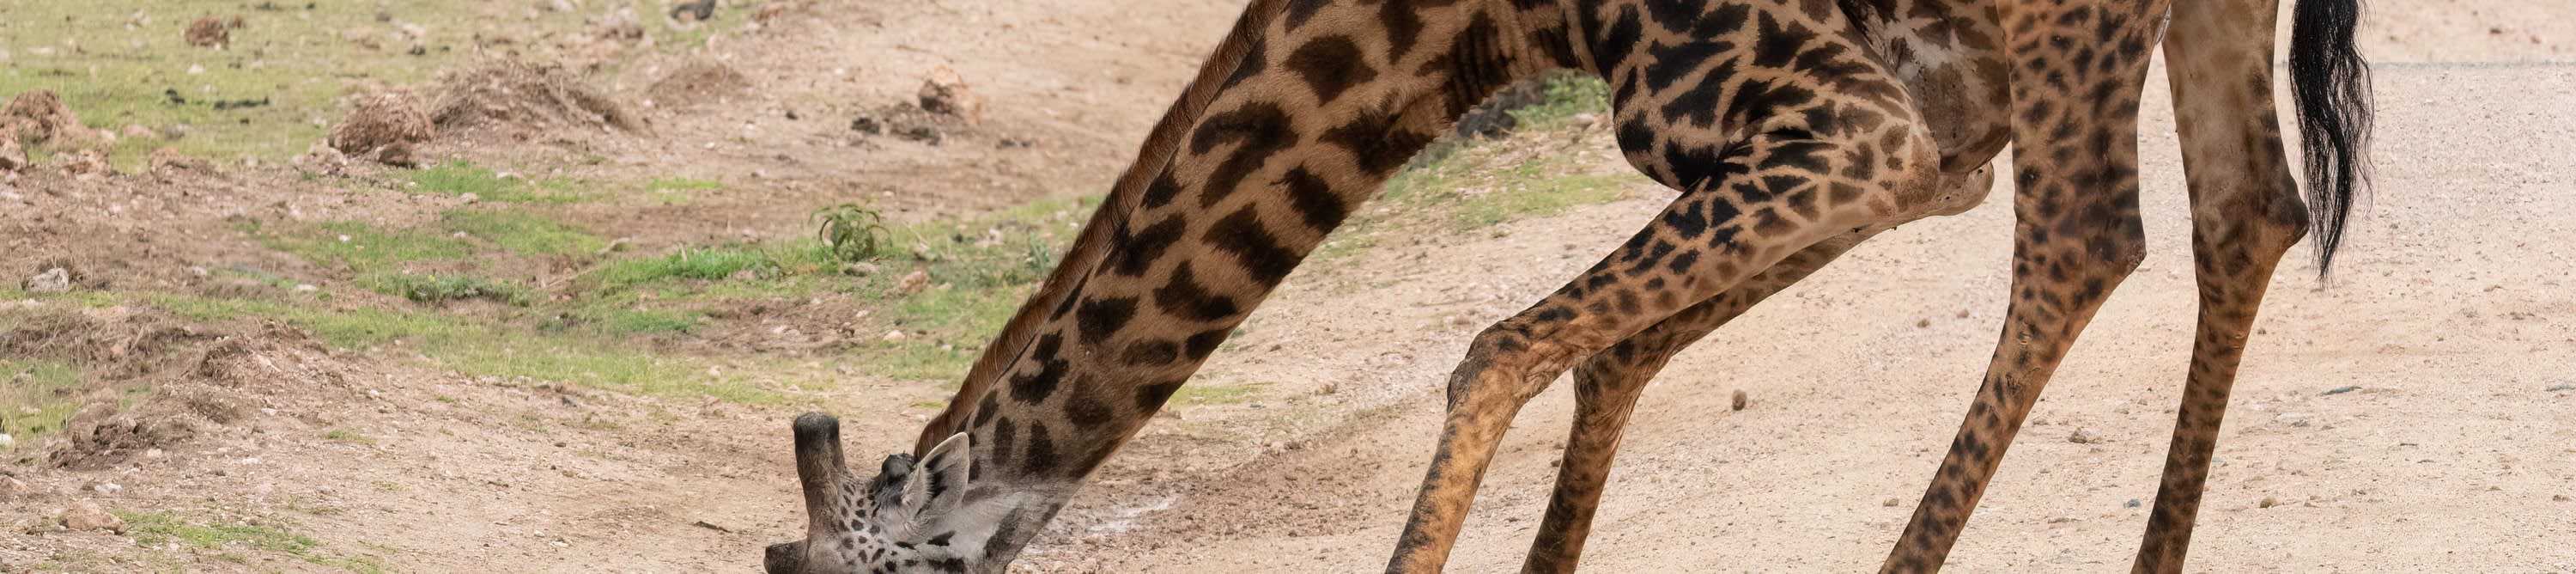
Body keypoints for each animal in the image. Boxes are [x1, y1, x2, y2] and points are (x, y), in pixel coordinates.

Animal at [761, 0, 2372, 571]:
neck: (1462, 25)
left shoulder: (1852, 129)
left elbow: (1495, 349)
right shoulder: (1924, 145)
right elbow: (1609, 354)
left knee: (2093, 239)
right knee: (2247, 218)